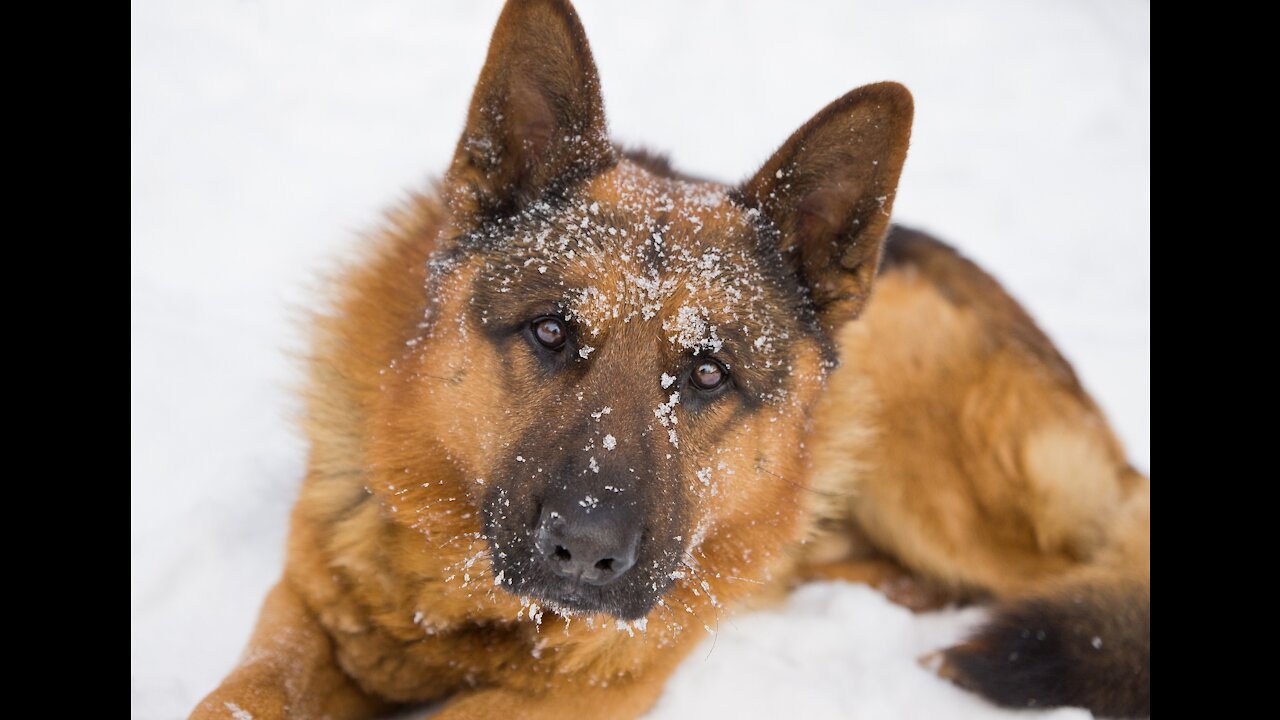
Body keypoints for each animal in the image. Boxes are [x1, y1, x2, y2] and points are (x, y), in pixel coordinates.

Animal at [194, 2, 1157, 712]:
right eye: (551, 332)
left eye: (706, 374)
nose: (583, 555)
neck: (470, 602)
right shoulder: (301, 620)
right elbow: (238, 697)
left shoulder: (575, 696)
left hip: (930, 463)